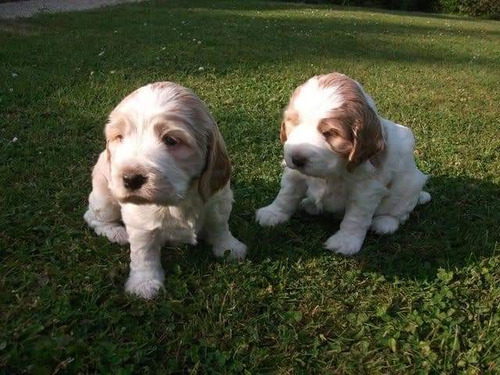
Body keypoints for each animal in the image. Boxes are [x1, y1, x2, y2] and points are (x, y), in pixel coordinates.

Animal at [85, 82, 247, 300]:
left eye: (171, 140)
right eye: (119, 137)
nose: (130, 178)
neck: (177, 200)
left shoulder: (218, 200)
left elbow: (219, 226)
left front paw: (229, 247)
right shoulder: (140, 223)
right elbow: (144, 253)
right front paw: (144, 283)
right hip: (105, 199)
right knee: (92, 218)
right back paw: (117, 232)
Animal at [256, 72, 432, 256]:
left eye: (330, 133)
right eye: (294, 123)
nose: (297, 159)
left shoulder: (366, 190)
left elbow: (356, 217)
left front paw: (346, 241)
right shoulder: (294, 174)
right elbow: (286, 194)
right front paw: (273, 213)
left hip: (409, 186)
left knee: (399, 212)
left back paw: (384, 223)